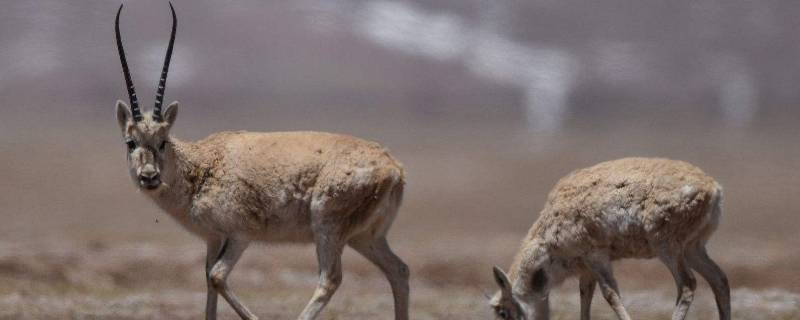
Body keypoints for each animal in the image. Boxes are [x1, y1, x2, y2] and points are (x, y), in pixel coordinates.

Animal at [112, 3, 410, 320]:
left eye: (163, 141)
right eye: (131, 142)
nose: (149, 177)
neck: (201, 167)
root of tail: (394, 168)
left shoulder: (239, 235)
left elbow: (217, 277)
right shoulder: (213, 239)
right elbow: (208, 284)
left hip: (328, 228)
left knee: (330, 279)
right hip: (365, 238)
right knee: (399, 270)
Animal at [490, 158, 728, 320]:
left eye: (502, 312)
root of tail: (714, 188)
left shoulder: (596, 257)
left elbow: (610, 295)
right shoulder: (586, 270)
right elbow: (585, 297)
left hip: (667, 247)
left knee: (688, 285)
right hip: (693, 248)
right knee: (720, 280)